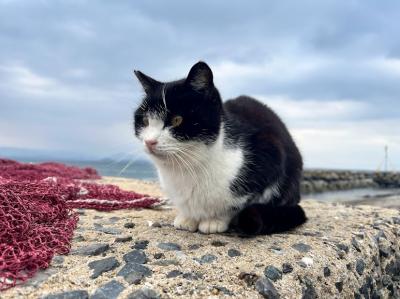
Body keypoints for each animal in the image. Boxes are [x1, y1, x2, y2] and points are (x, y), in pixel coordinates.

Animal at [134, 62, 306, 237]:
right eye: (145, 121)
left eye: (177, 120)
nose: (149, 141)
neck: (190, 166)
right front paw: (187, 218)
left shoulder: (271, 152)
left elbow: (235, 204)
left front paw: (214, 220)